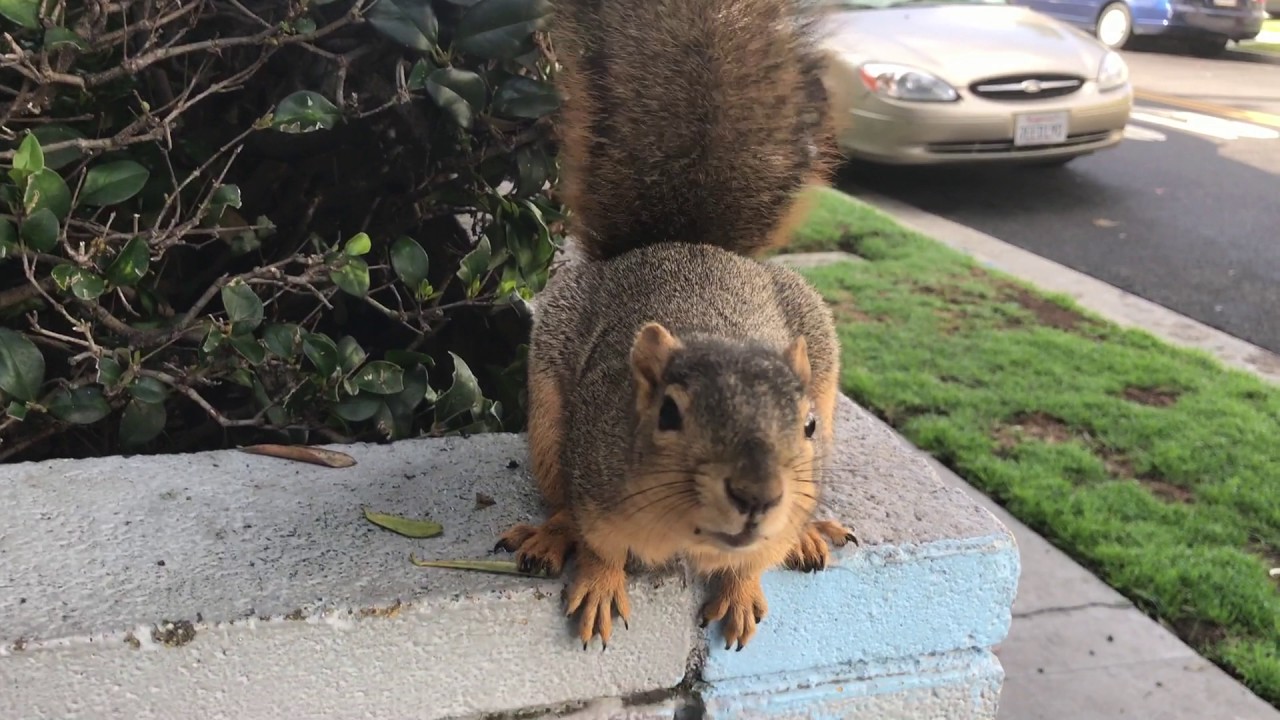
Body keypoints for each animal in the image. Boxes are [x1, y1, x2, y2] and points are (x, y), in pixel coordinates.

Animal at [494, 0, 856, 651]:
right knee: (559, 500)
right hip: (550, 425)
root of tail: (684, 243)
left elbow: (756, 559)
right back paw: (551, 534)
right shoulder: (597, 477)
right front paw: (600, 584)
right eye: (668, 414)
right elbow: (598, 541)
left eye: (809, 425)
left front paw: (741, 590)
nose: (757, 496)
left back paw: (812, 533)